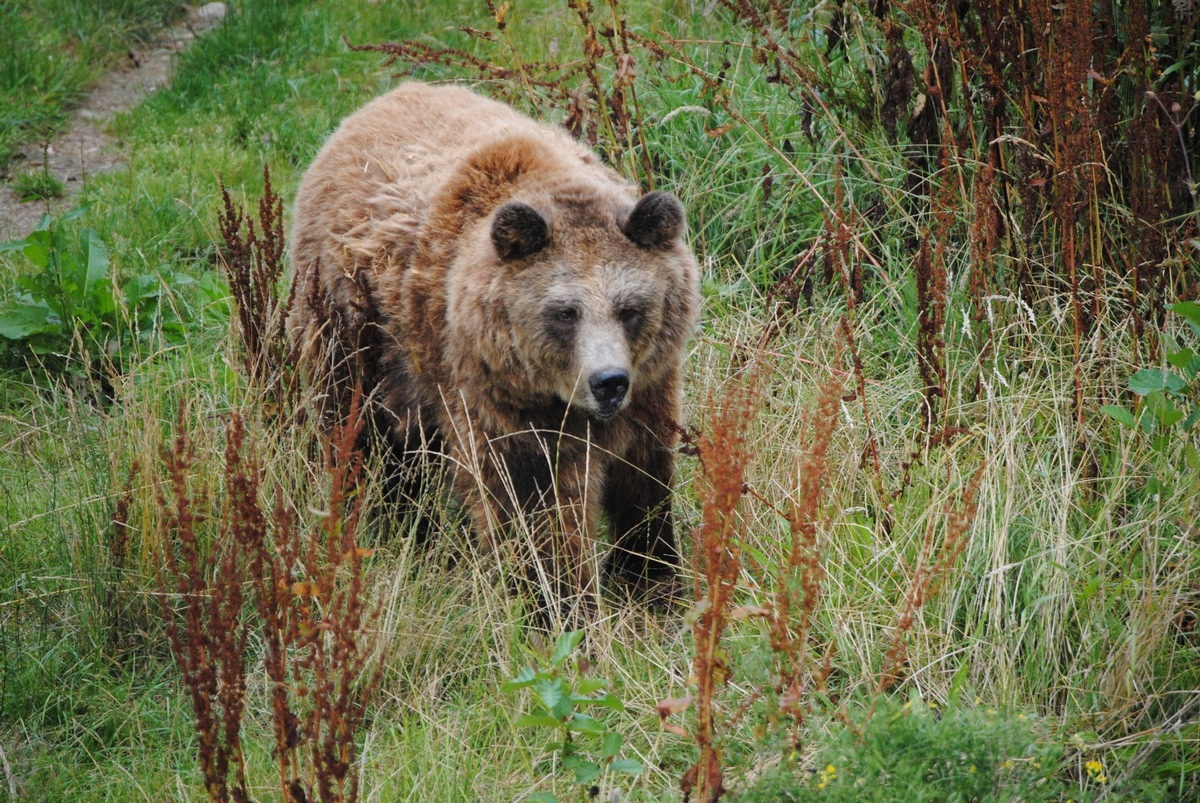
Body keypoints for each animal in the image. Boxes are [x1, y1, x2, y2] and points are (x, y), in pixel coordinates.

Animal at [289, 82, 700, 614]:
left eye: (629, 307)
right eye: (564, 312)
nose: (608, 382)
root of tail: (362, 113)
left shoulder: (651, 386)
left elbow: (645, 479)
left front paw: (653, 581)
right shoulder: (496, 400)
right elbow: (531, 505)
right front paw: (557, 602)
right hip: (355, 330)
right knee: (361, 436)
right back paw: (391, 526)